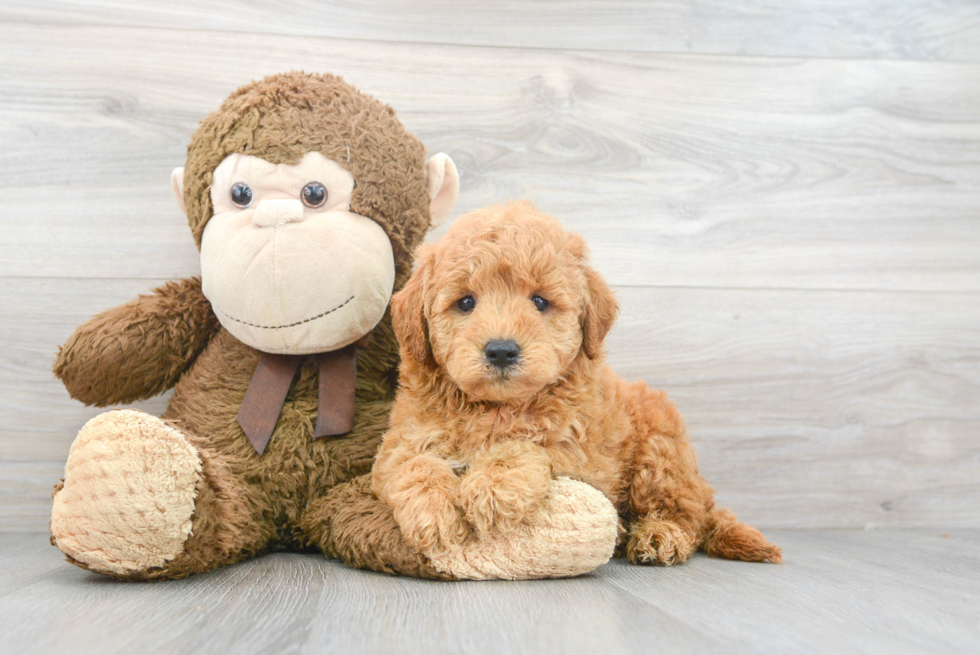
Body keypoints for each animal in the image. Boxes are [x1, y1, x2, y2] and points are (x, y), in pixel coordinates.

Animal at [374, 202, 780, 568]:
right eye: (465, 302)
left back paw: (659, 535)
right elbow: (412, 465)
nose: (502, 350)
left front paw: (492, 487)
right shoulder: (402, 440)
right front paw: (433, 513)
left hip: (660, 453)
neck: (497, 408)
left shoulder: (585, 456)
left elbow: (524, 447)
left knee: (685, 513)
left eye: (540, 301)